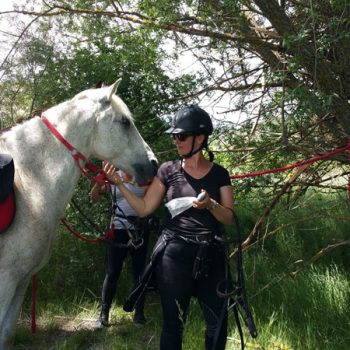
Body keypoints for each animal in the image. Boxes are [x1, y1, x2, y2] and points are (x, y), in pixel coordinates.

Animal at [0, 78, 157, 348]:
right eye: (125, 121)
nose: (154, 164)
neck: (27, 186)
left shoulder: (20, 280)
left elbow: (6, 334)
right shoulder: (5, 280)